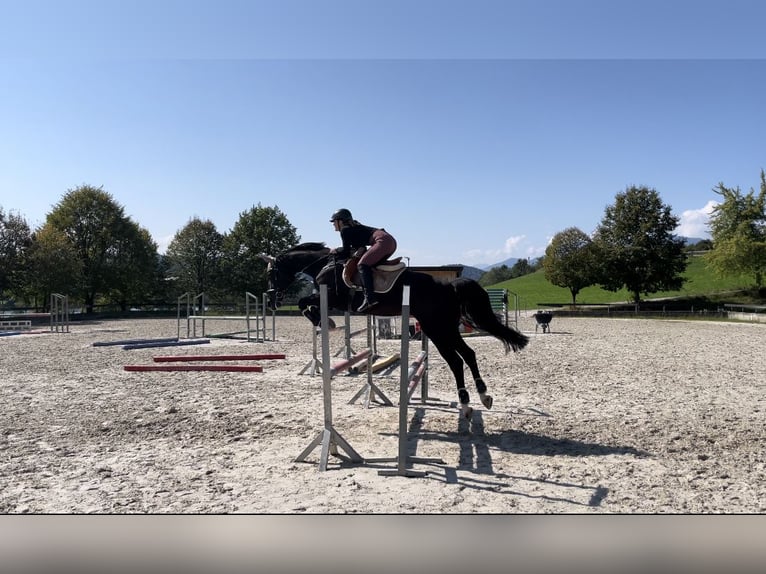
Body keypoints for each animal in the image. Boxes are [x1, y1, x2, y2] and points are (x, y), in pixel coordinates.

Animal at [260, 241, 532, 420]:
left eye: (272, 273)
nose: (272, 300)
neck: (324, 264)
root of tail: (448, 286)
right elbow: (305, 302)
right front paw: (322, 320)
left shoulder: (335, 298)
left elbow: (304, 302)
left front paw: (323, 320)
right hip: (446, 329)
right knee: (468, 354)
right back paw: (484, 396)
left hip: (436, 328)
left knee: (456, 360)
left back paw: (466, 405)